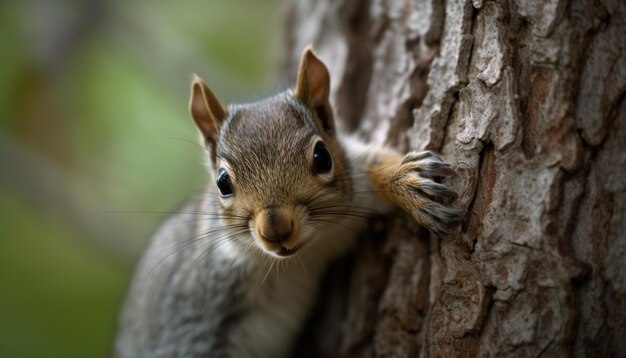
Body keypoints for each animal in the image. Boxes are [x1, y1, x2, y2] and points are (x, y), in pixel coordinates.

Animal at [114, 47, 460, 358]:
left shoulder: (353, 192)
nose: (276, 229)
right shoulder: (189, 316)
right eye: (222, 182)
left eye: (322, 157)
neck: (295, 259)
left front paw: (406, 181)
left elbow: (372, 165)